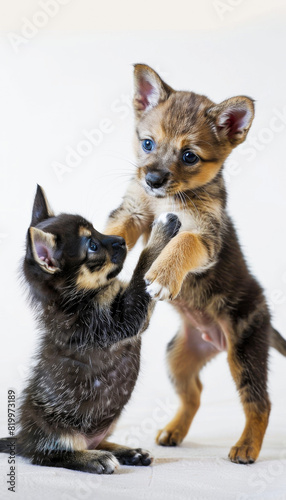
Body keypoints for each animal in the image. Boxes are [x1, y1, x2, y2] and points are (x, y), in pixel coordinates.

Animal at [0, 187, 180, 472]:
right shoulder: (121, 320)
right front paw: (160, 231)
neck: (76, 299)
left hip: (106, 424)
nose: (121, 240)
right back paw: (95, 458)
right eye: (92, 246)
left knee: (99, 440)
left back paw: (128, 451)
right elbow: (142, 271)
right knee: (50, 455)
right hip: (55, 431)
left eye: (96, 230)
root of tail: (22, 439)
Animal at [105, 63, 286, 464]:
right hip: (178, 358)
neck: (165, 200)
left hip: (245, 353)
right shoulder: (134, 212)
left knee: (260, 403)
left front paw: (162, 275)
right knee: (196, 393)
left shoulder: (204, 235)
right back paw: (173, 431)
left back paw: (246, 447)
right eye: (147, 143)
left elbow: (182, 242)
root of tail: (214, 341)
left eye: (189, 156)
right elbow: (114, 231)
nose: (153, 179)